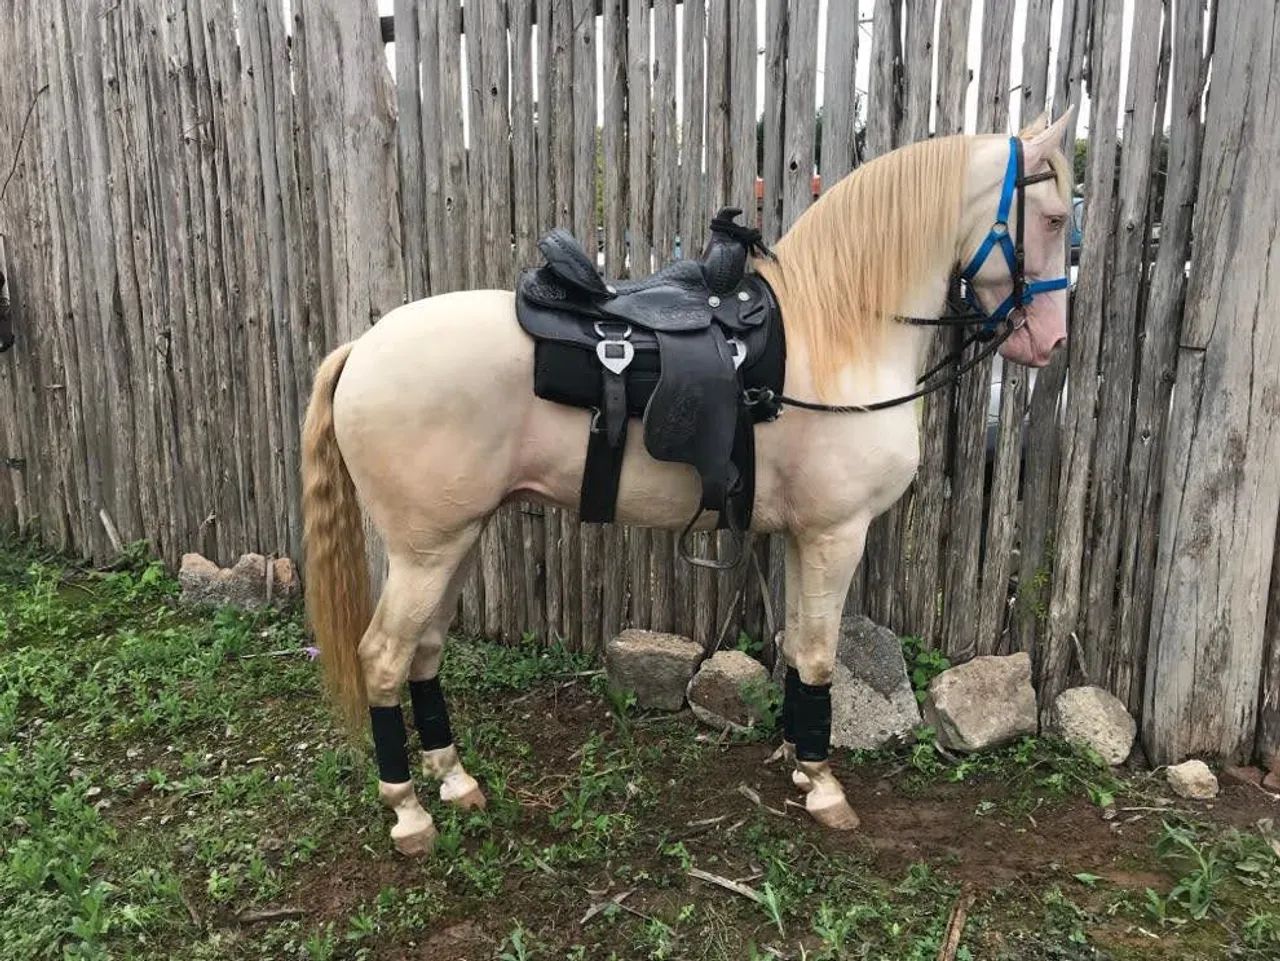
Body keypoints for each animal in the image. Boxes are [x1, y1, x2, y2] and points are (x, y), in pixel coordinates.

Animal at [301, 110, 1076, 856]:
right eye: (1053, 218)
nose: (1051, 342)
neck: (840, 334)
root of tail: (361, 349)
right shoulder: (836, 534)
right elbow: (819, 654)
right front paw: (824, 785)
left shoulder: (805, 536)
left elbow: (797, 645)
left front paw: (801, 764)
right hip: (426, 551)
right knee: (383, 657)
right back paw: (407, 812)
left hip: (455, 539)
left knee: (426, 648)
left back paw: (455, 780)